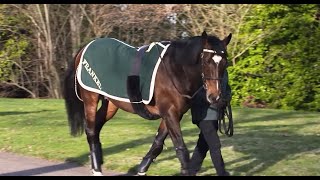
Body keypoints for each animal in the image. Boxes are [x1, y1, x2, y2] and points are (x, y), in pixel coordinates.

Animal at [63, 31, 232, 176]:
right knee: (91, 130)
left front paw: (141, 169)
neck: (173, 69)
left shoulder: (172, 114)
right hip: (90, 98)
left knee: (96, 127)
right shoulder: (169, 112)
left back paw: (97, 161)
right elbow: (181, 147)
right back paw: (97, 169)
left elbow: (158, 143)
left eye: (224, 62)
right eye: (206, 61)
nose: (214, 96)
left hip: (111, 104)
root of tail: (84, 48)